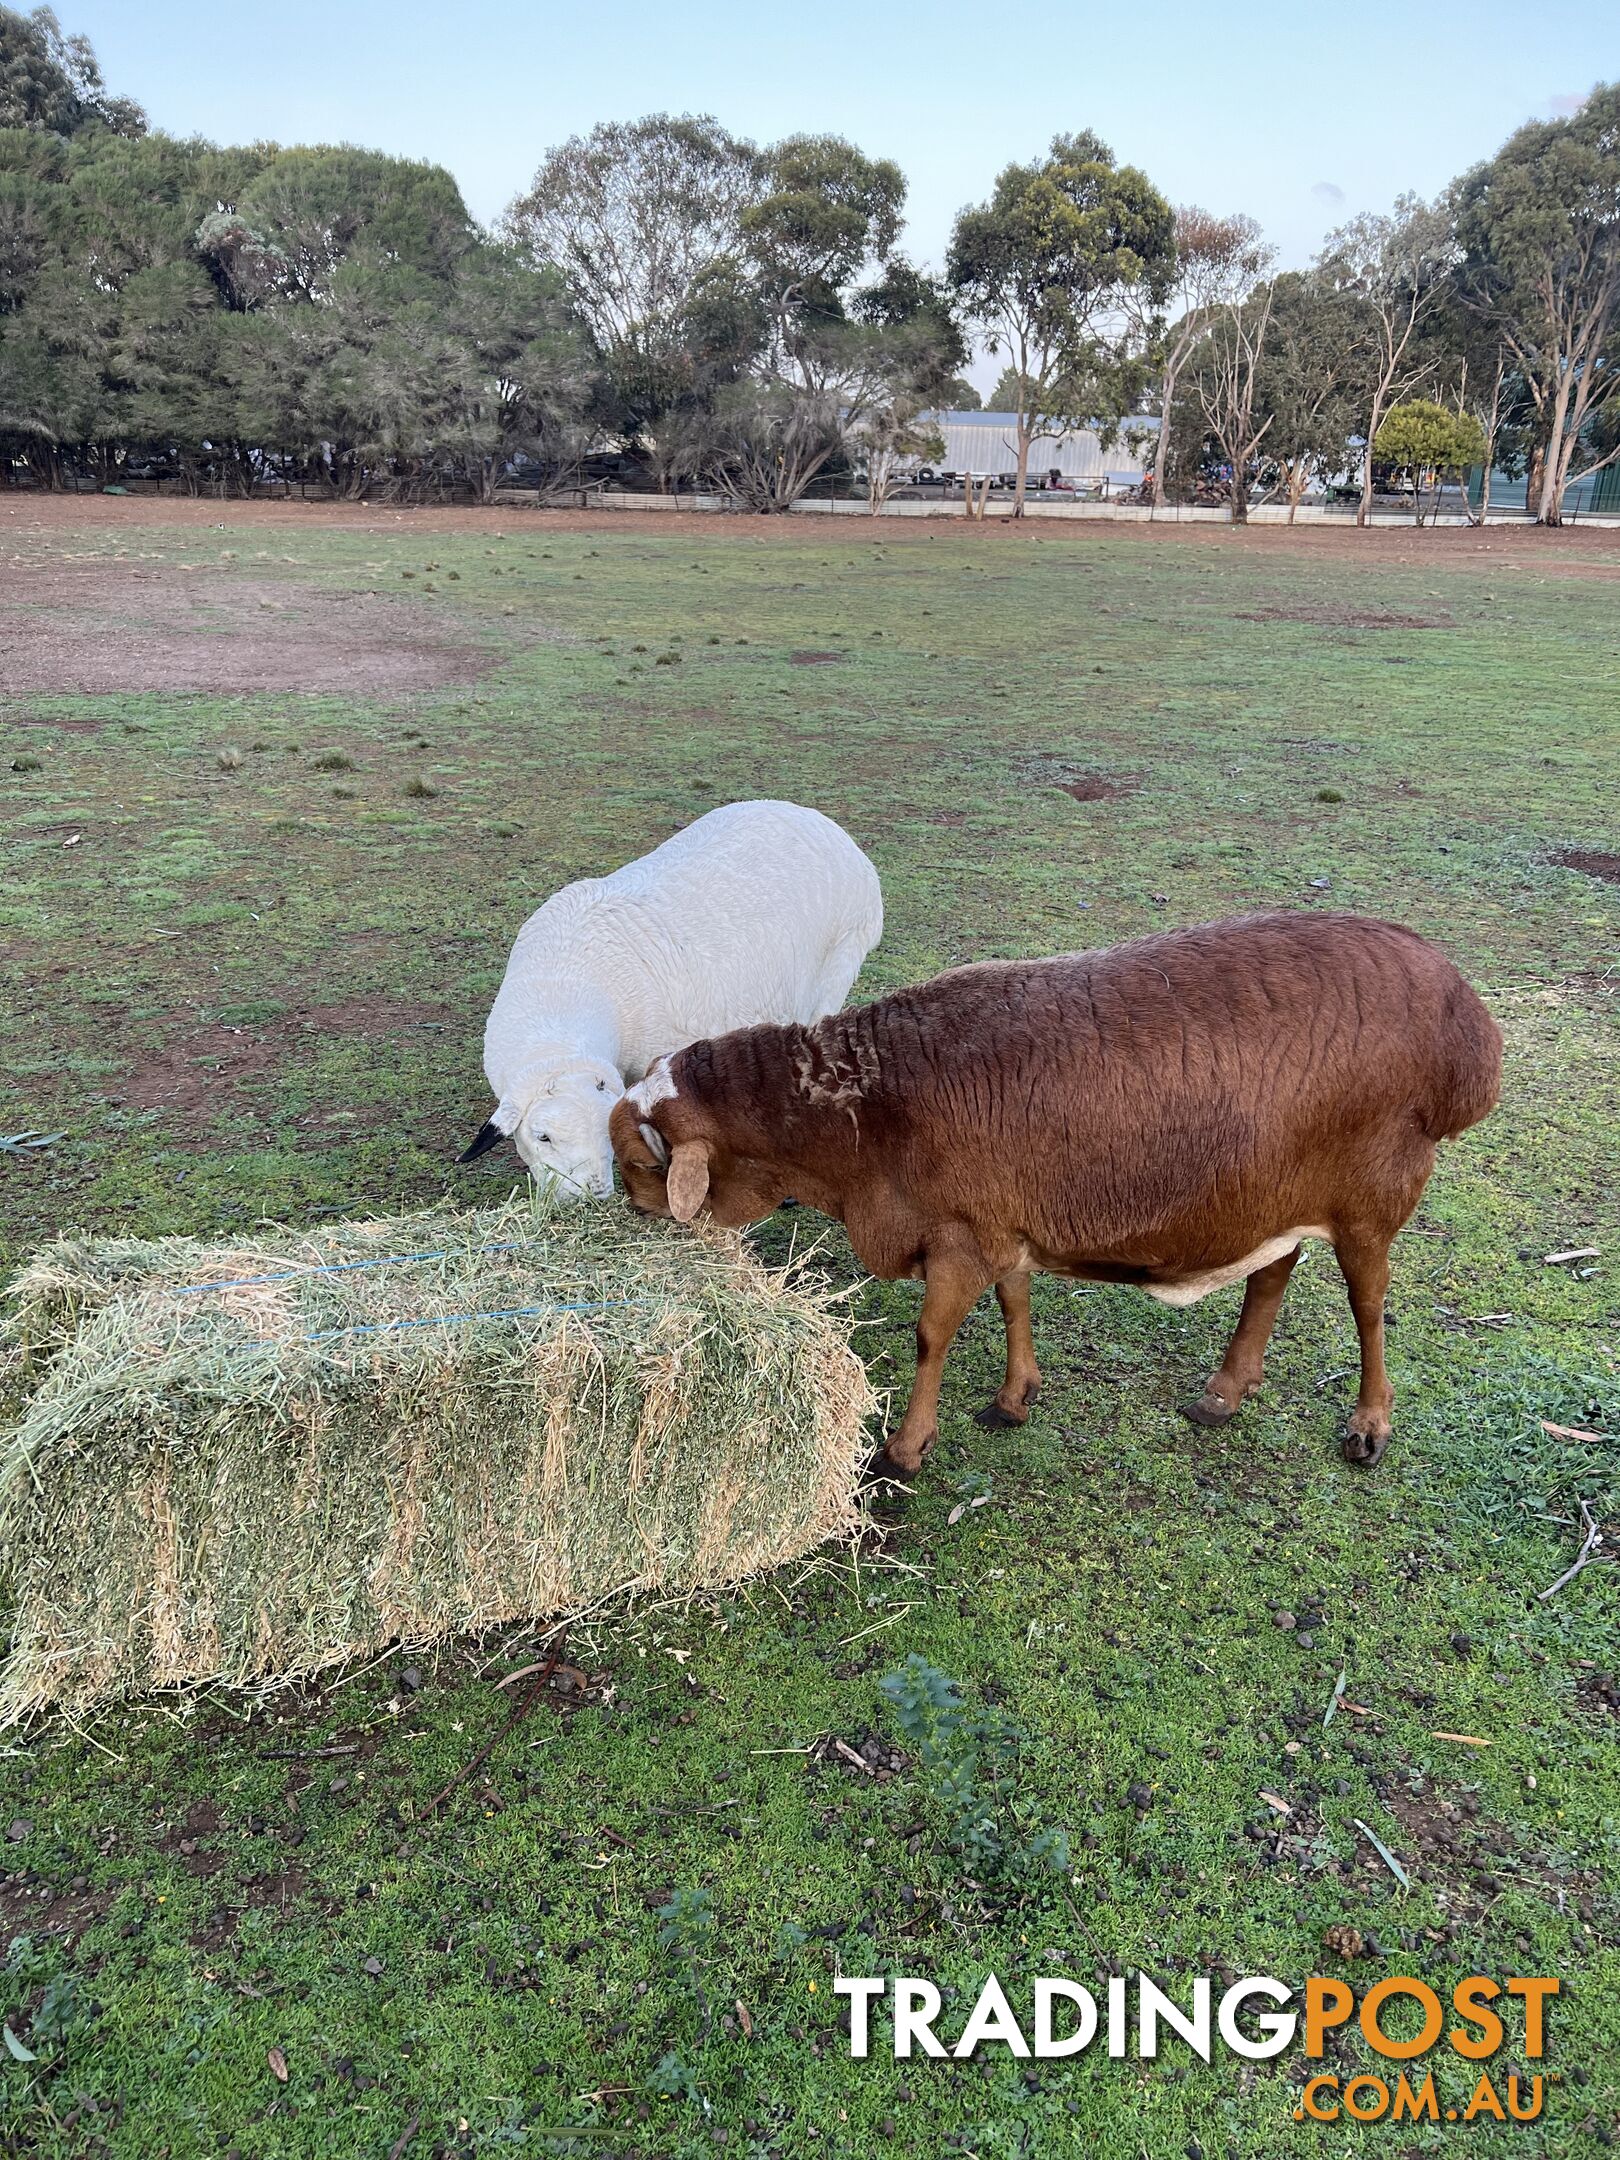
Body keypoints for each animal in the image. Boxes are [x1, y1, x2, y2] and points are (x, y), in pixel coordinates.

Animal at [613, 911, 1512, 1486]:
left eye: (641, 1165)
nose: (631, 1218)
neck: (861, 1118)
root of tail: (1466, 1027)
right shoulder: (996, 1221)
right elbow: (1014, 1298)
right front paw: (1016, 1396)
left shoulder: (958, 1234)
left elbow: (930, 1338)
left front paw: (904, 1449)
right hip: (1276, 1188)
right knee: (1272, 1273)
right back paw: (1225, 1391)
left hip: (1373, 1190)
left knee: (1368, 1304)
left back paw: (1368, 1425)